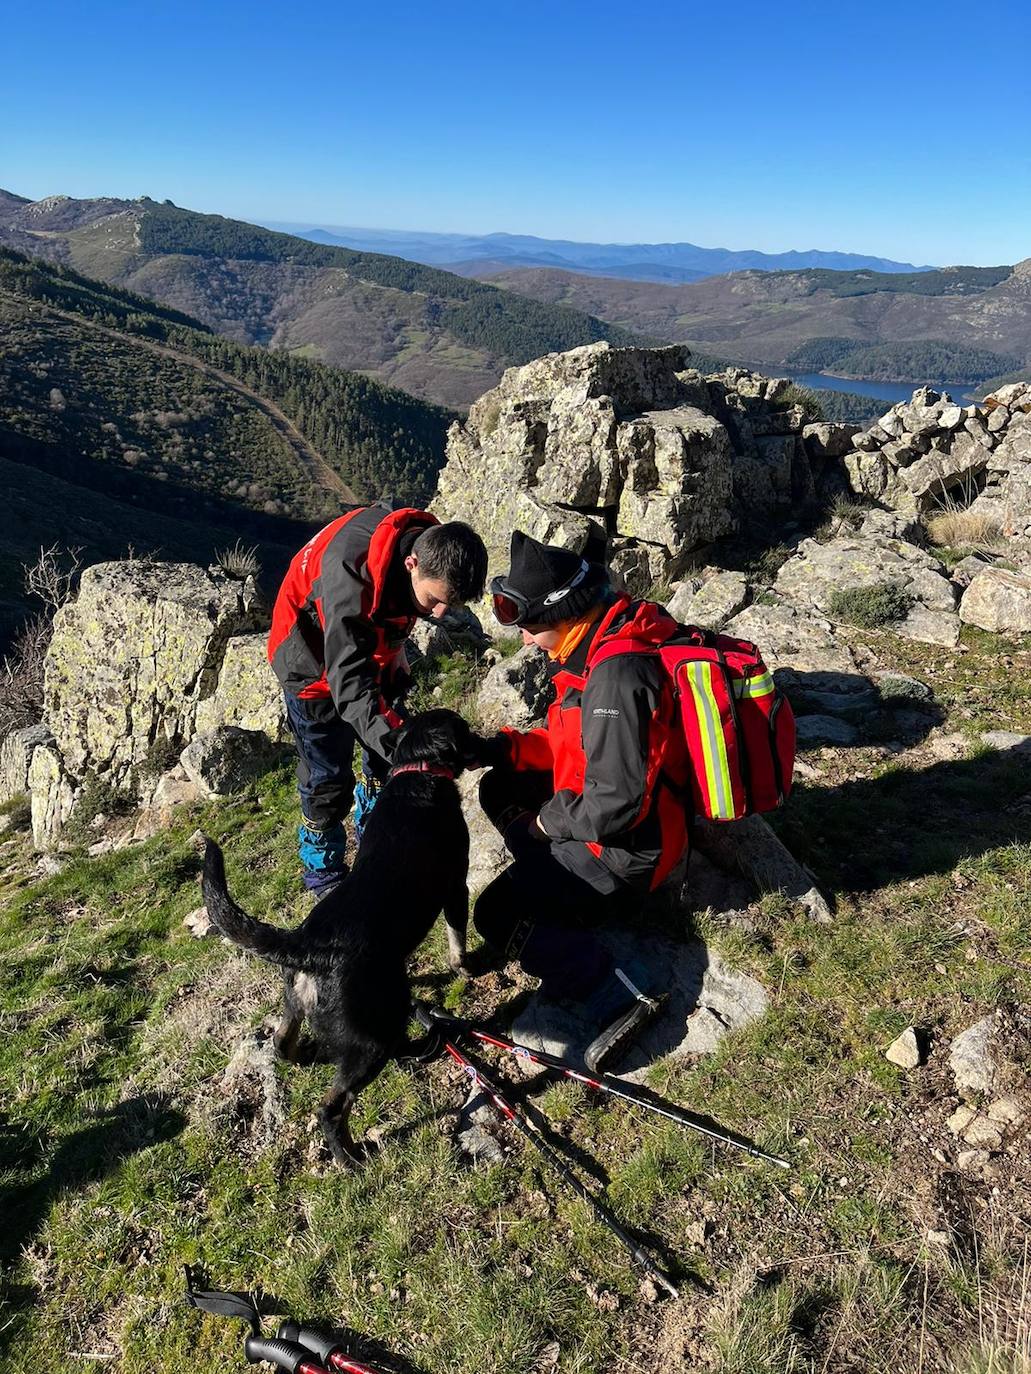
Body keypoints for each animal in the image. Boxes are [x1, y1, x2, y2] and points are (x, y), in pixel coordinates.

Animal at [203, 714, 483, 1165]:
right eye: (465, 731)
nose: (486, 741)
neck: (417, 771)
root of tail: (308, 947)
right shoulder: (456, 886)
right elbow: (458, 935)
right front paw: (466, 968)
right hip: (374, 1034)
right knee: (332, 1107)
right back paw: (351, 1158)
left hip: (300, 1004)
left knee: (281, 1044)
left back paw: (314, 1055)